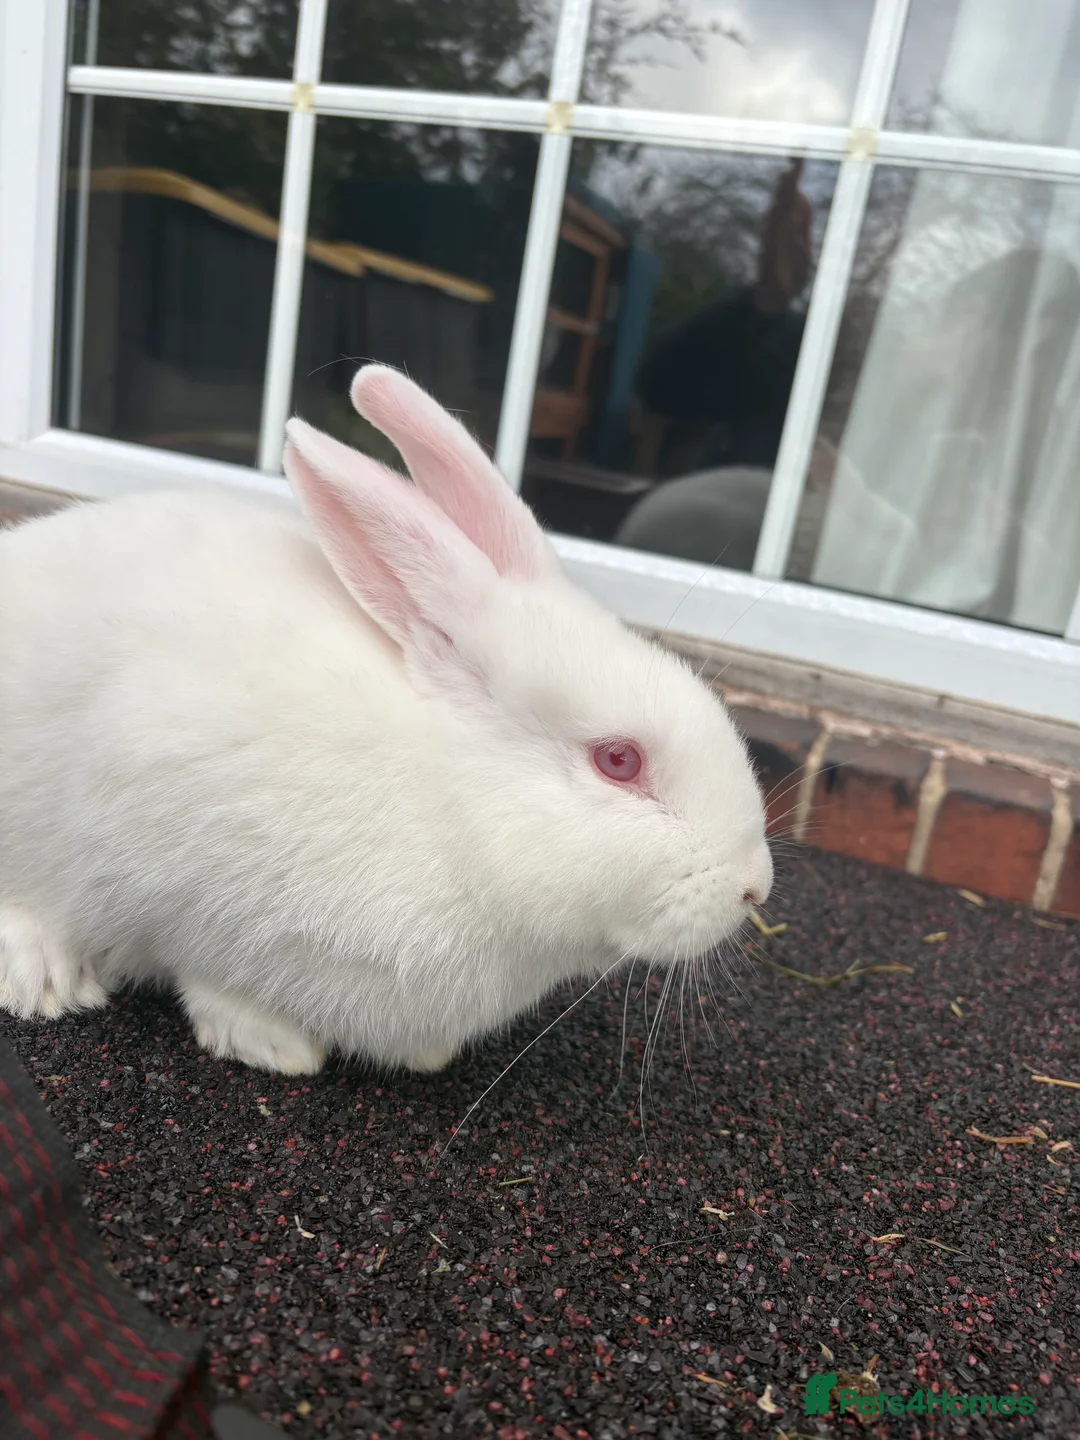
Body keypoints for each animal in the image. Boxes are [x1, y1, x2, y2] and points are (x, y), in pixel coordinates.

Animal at [0, 365, 772, 1075]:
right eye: (619, 760)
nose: (754, 887)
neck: (452, 806)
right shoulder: (165, 869)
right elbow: (207, 976)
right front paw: (277, 1047)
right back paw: (44, 979)